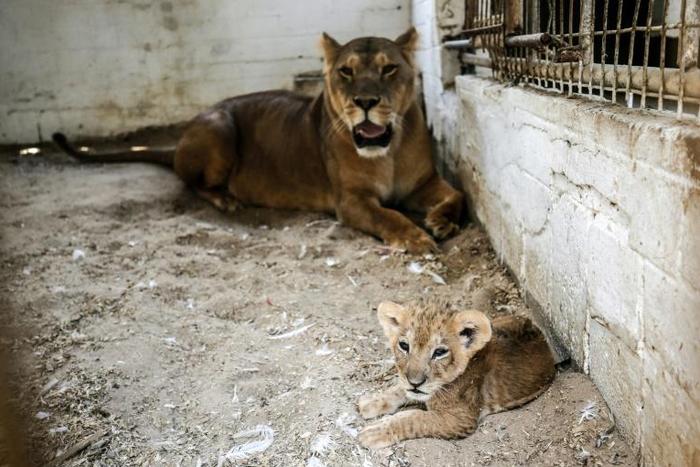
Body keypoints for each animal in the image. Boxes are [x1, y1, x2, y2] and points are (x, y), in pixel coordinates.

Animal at [52, 28, 464, 254]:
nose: (365, 102)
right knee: (191, 183)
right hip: (219, 127)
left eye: (389, 68)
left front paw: (440, 222)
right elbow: (388, 215)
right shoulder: (350, 201)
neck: (387, 152)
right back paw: (226, 199)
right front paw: (415, 237)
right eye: (346, 72)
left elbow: (457, 195)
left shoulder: (423, 183)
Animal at [357, 300, 555, 449]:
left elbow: (415, 418)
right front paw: (370, 402)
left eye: (439, 352)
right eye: (404, 346)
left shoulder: (460, 420)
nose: (415, 382)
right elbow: (399, 389)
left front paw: (374, 432)